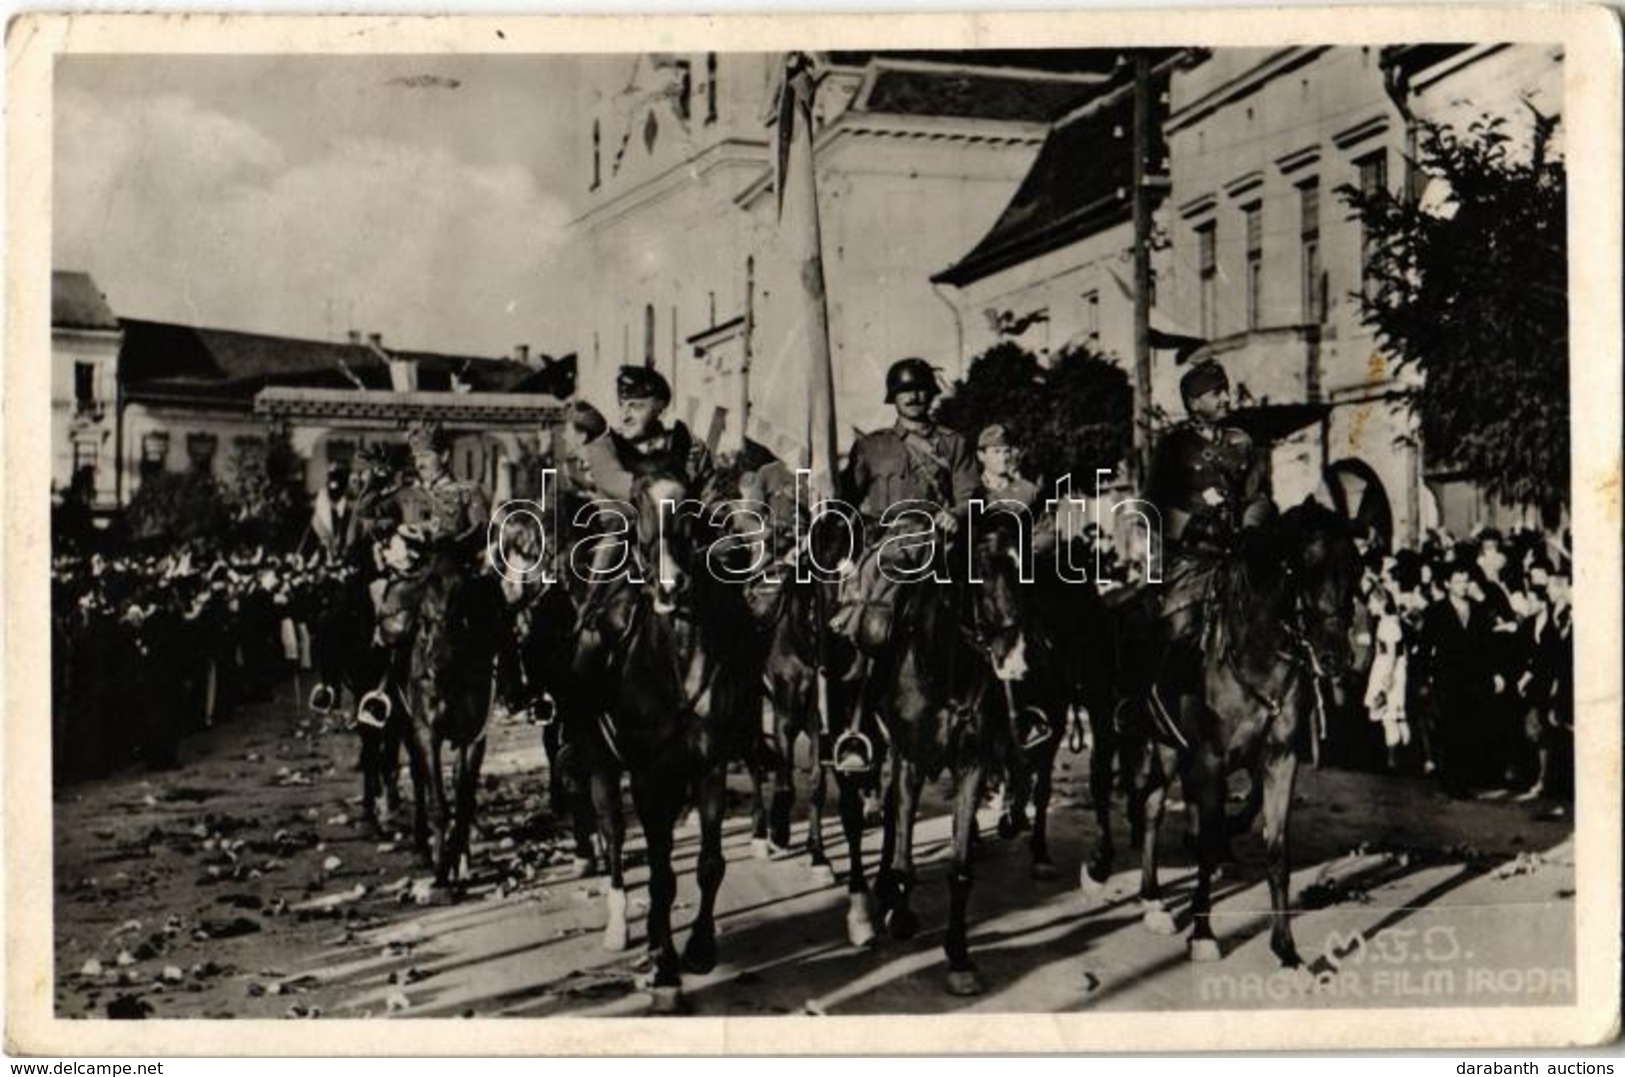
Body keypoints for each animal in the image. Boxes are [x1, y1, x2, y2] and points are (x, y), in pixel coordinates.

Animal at [1111, 500, 1352, 961]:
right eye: (1301, 567)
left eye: (1353, 565)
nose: (1335, 656)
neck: (1257, 655)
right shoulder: (1209, 759)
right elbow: (1206, 844)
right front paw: (1203, 934)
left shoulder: (1280, 758)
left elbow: (1277, 850)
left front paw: (1285, 948)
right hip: (1156, 744)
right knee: (1150, 808)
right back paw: (1152, 898)